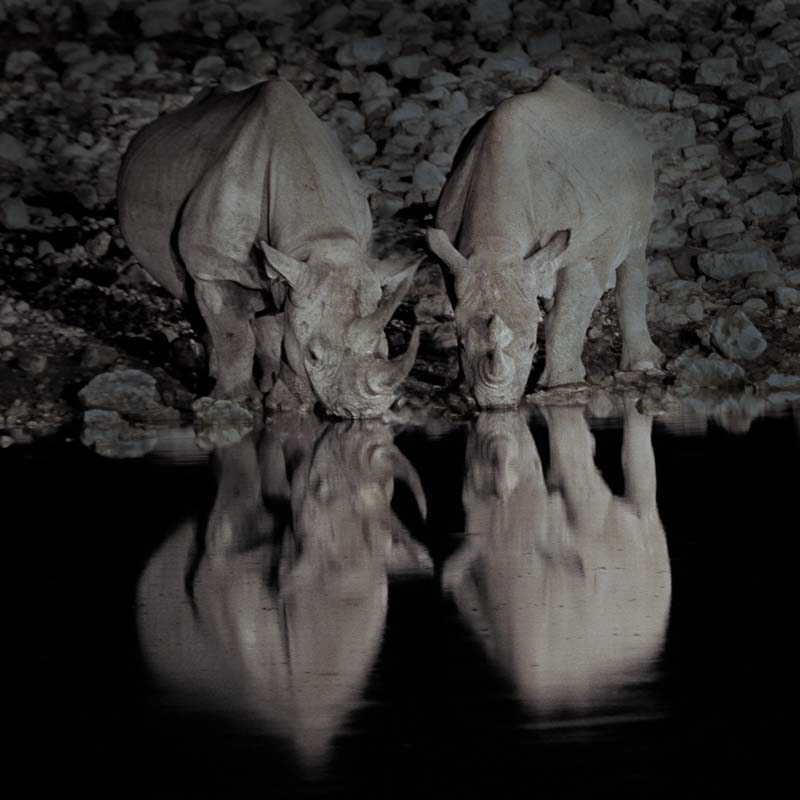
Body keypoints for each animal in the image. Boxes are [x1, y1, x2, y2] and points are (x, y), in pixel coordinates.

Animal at [119, 80, 422, 418]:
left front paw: (285, 406)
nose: (365, 412)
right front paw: (234, 402)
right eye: (314, 356)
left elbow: (286, 336)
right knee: (193, 300)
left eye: (384, 349)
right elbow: (235, 337)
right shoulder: (214, 268)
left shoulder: (298, 272)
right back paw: (214, 381)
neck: (320, 237)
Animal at [428, 75, 664, 406]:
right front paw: (461, 387)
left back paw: (643, 366)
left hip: (638, 169)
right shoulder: (456, 261)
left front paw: (562, 387)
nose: (497, 404)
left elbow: (569, 316)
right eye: (459, 345)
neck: (496, 246)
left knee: (633, 254)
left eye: (531, 347)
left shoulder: (583, 256)